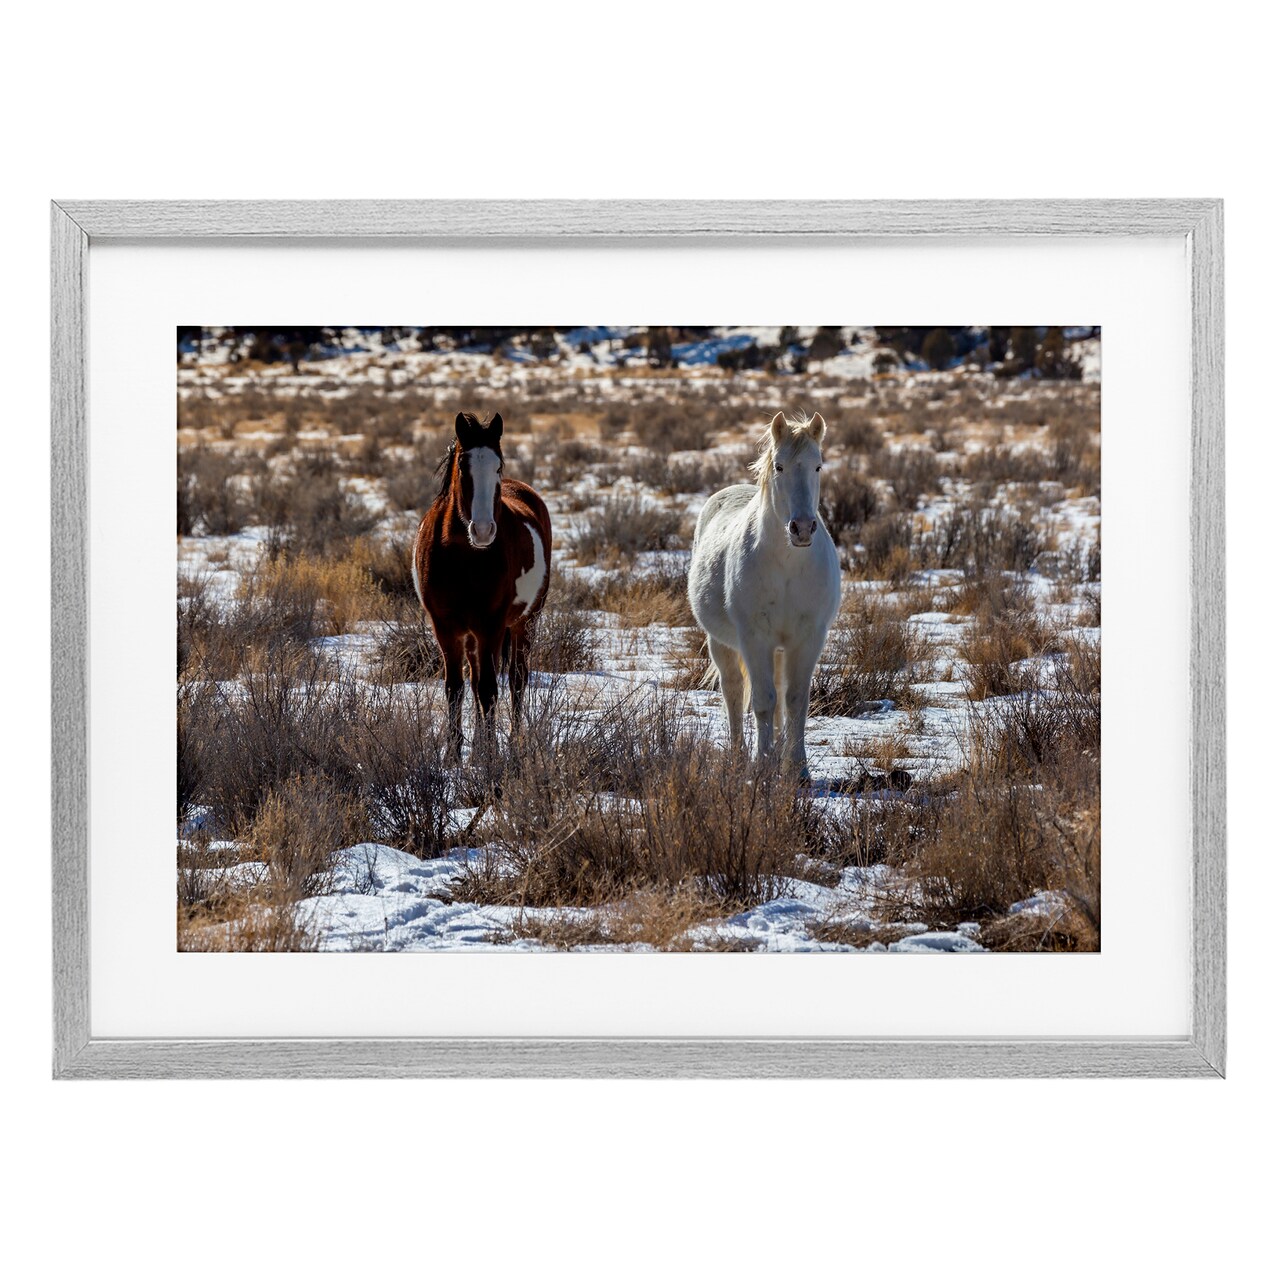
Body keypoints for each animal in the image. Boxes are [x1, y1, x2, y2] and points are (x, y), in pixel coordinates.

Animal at [413, 412, 552, 758]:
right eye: (463, 466)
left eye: (498, 466)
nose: (484, 530)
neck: (463, 557)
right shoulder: (446, 627)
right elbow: (456, 688)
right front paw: (453, 756)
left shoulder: (492, 624)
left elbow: (489, 689)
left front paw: (489, 757)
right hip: (474, 634)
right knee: (476, 680)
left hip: (525, 621)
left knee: (517, 680)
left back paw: (512, 743)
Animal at [687, 411, 841, 777]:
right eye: (780, 466)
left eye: (818, 466)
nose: (802, 529)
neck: (787, 564)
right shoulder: (755, 638)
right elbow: (762, 701)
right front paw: (763, 765)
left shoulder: (808, 638)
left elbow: (796, 699)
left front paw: (798, 769)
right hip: (722, 643)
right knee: (732, 690)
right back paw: (739, 756)